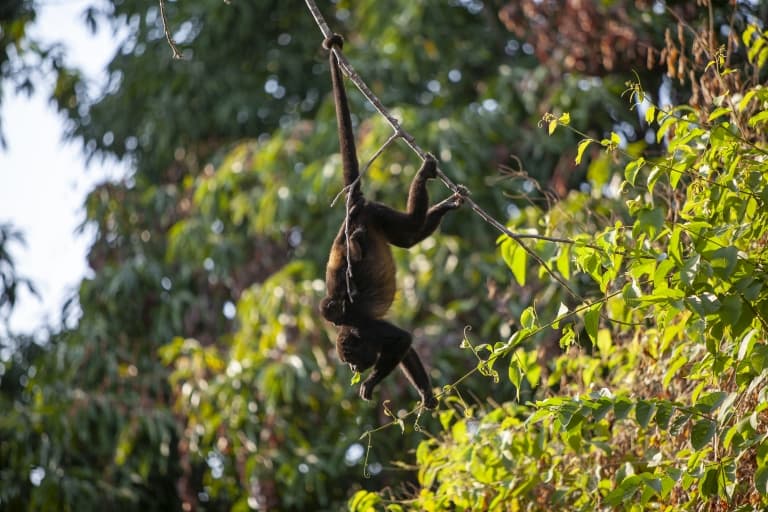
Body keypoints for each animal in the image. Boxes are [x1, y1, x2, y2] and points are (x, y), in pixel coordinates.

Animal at [318, 35, 462, 408]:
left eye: (351, 358)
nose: (354, 370)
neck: (353, 327)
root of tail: (354, 208)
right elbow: (407, 348)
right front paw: (426, 393)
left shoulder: (369, 328)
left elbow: (402, 339)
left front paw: (370, 383)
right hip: (377, 217)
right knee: (409, 238)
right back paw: (443, 207)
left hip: (375, 212)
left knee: (408, 230)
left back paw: (424, 177)